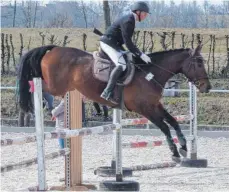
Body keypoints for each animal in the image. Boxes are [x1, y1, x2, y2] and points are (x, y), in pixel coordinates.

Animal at [17, 44, 211, 162]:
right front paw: (175, 152)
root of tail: (54, 48)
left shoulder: (155, 105)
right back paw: (32, 104)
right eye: (199, 64)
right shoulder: (145, 109)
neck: (151, 74)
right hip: (55, 86)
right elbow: (164, 127)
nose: (207, 87)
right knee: (37, 84)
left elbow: (173, 121)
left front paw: (184, 146)